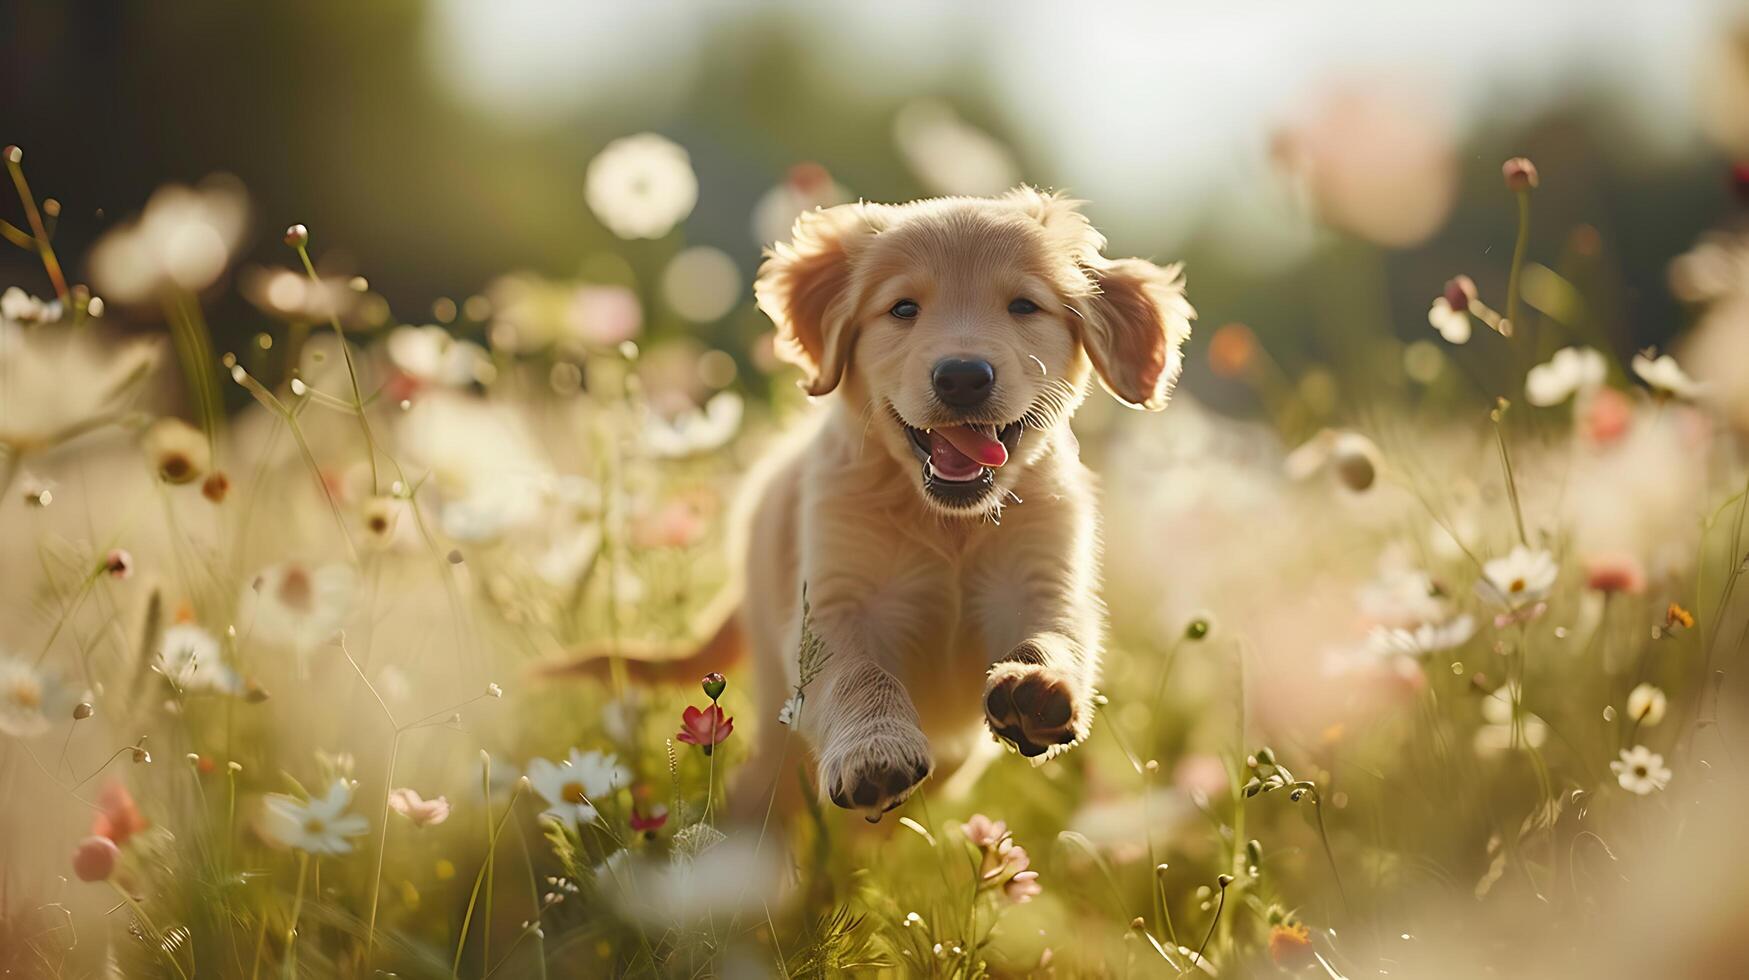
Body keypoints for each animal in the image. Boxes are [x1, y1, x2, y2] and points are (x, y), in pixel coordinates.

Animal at [556, 185, 1189, 819]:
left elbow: (1055, 635)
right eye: (903, 309)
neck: (948, 524)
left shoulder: (1042, 578)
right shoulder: (832, 607)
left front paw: (1036, 688)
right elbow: (860, 675)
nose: (963, 377)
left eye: (1024, 307)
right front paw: (874, 752)